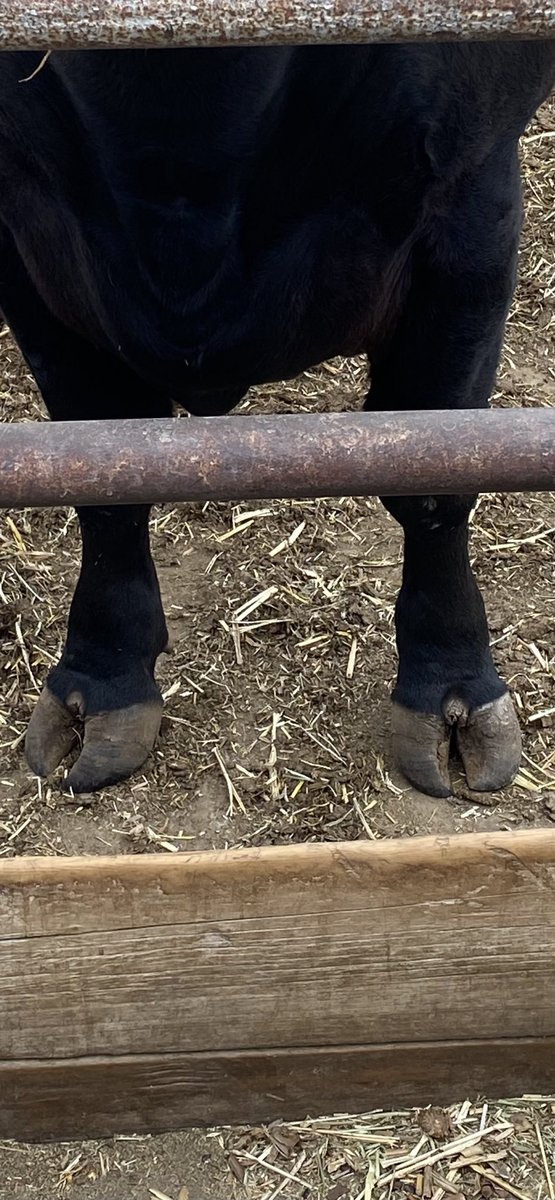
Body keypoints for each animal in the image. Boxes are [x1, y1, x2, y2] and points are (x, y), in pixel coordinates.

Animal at [0, 42, 553, 797]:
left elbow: (436, 475)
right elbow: (102, 475)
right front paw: (104, 675)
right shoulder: (26, 248)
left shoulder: (473, 203)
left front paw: (451, 689)